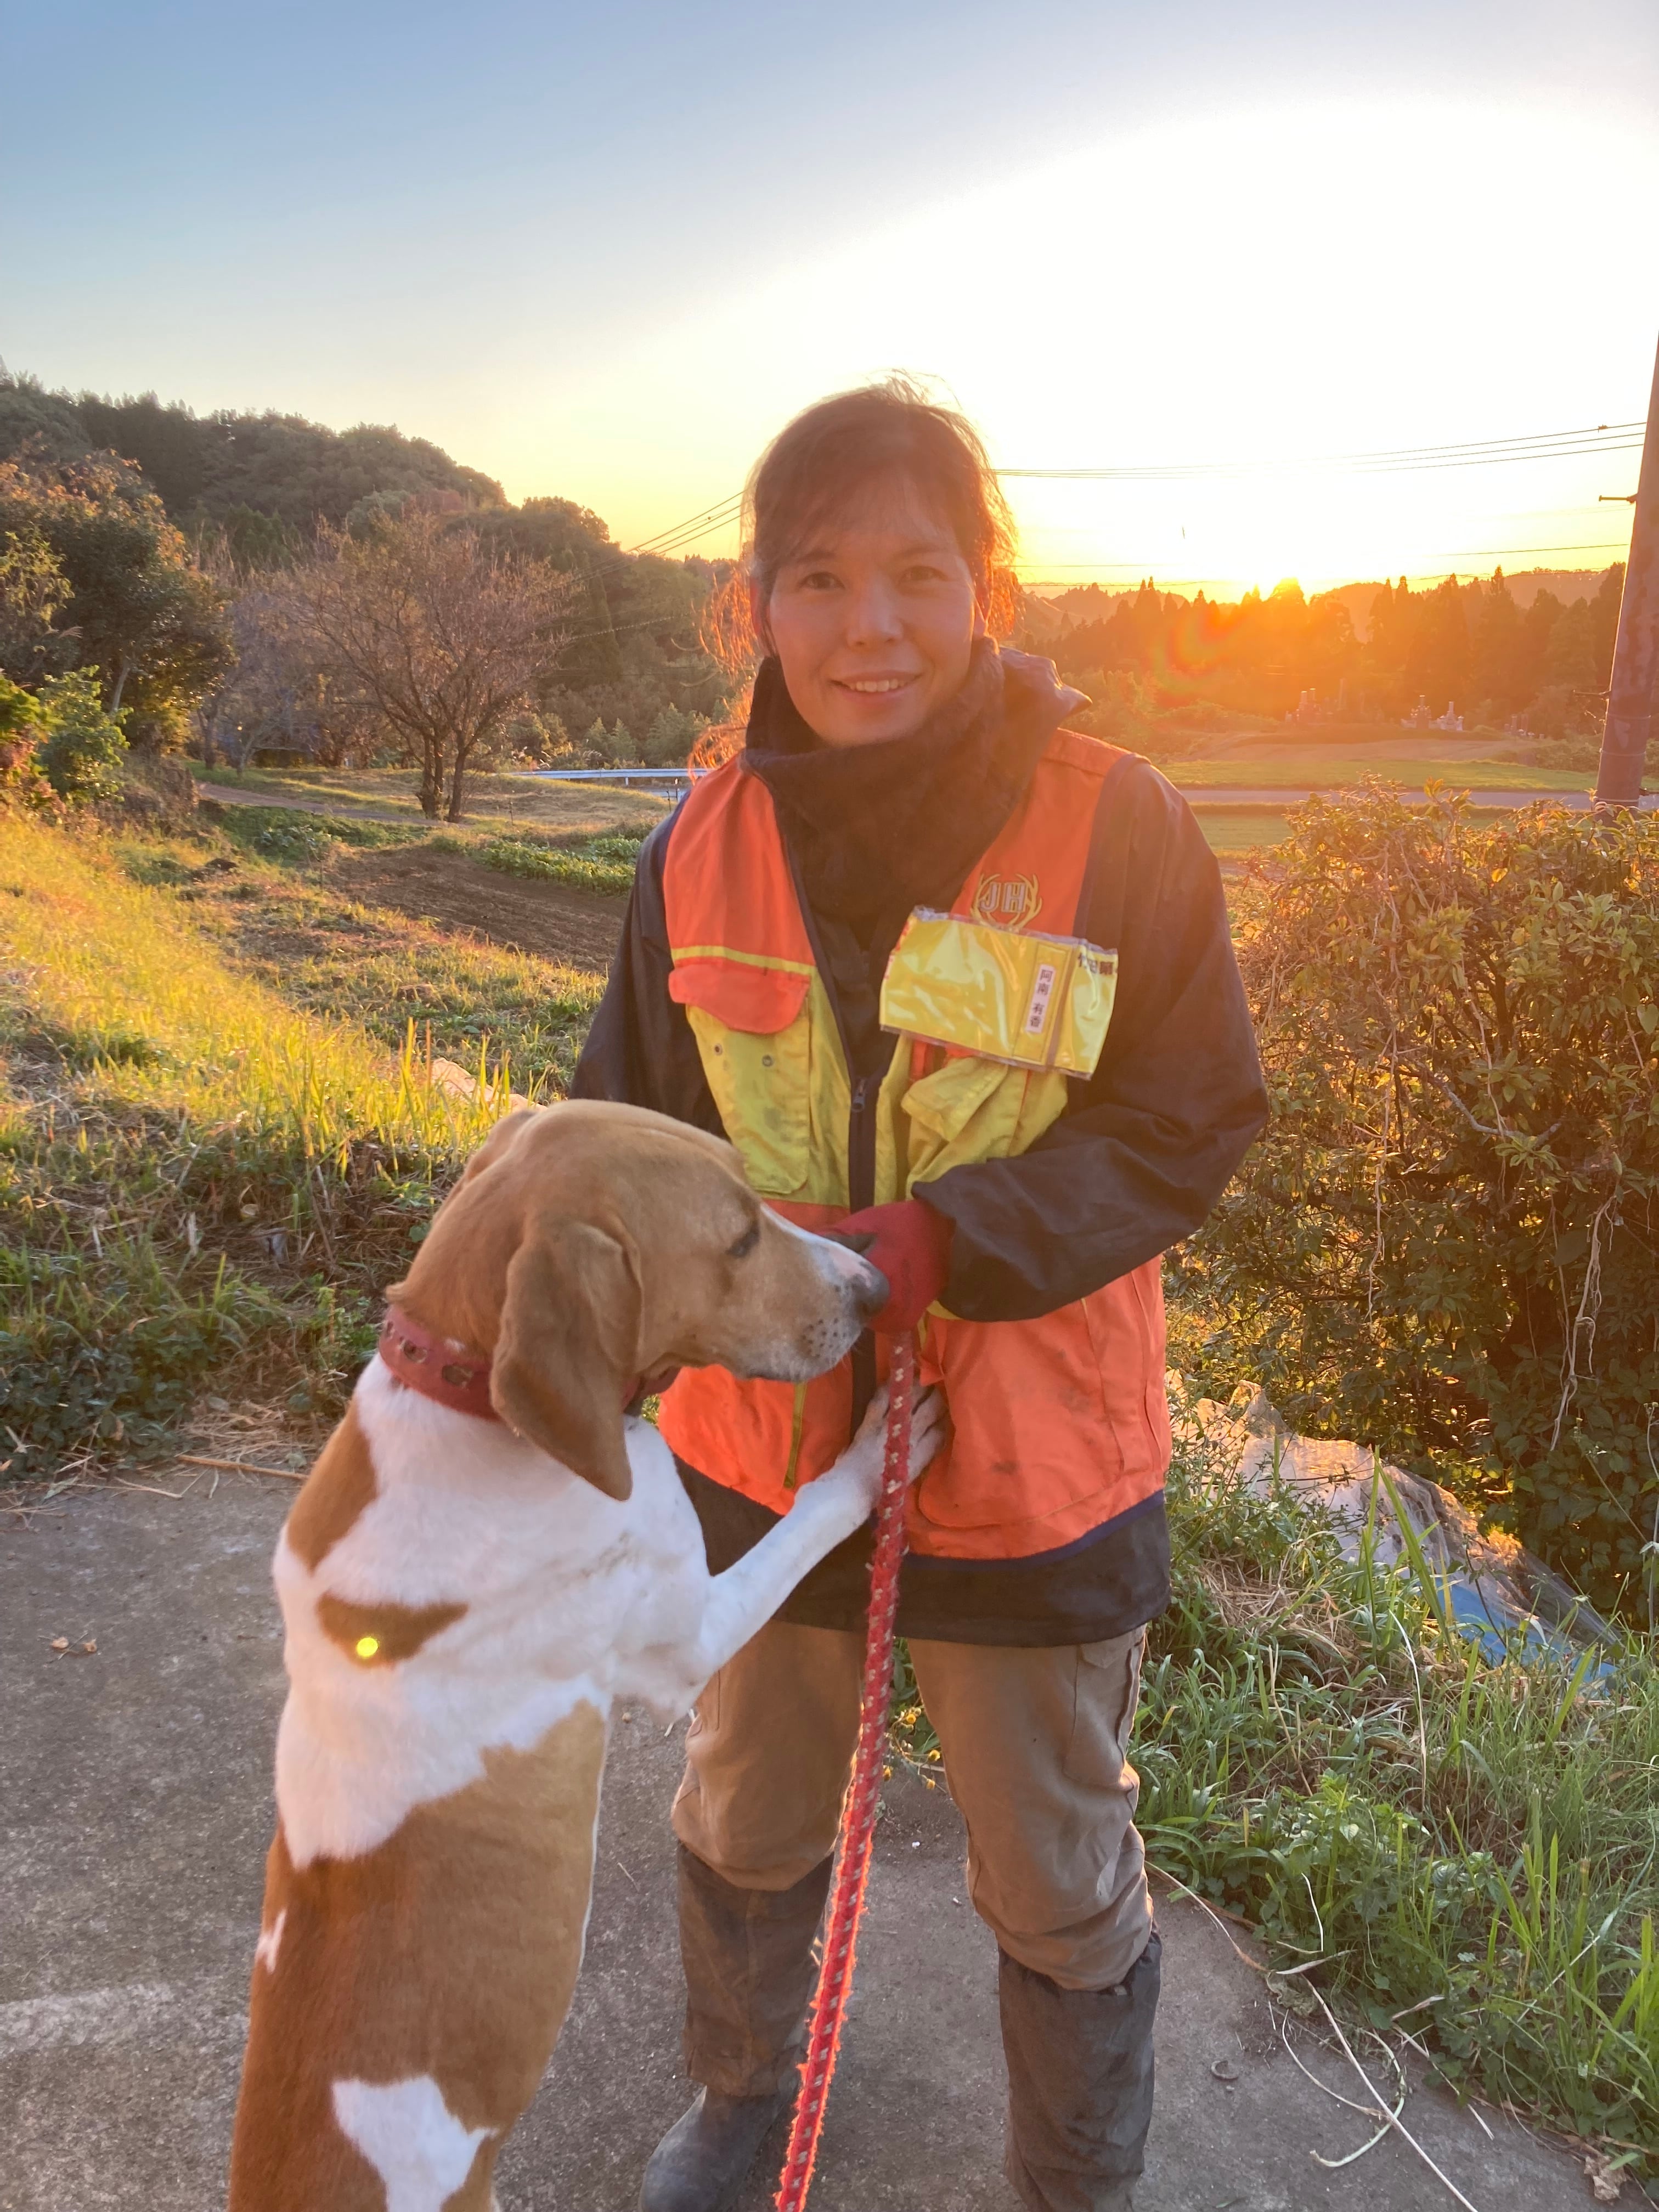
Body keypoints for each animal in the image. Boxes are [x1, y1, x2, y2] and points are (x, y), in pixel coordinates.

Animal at [228, 1100, 941, 2211]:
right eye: (738, 1240)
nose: (873, 1288)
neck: (468, 1398)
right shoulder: (690, 1636)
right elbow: (812, 1514)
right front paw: (877, 1455)